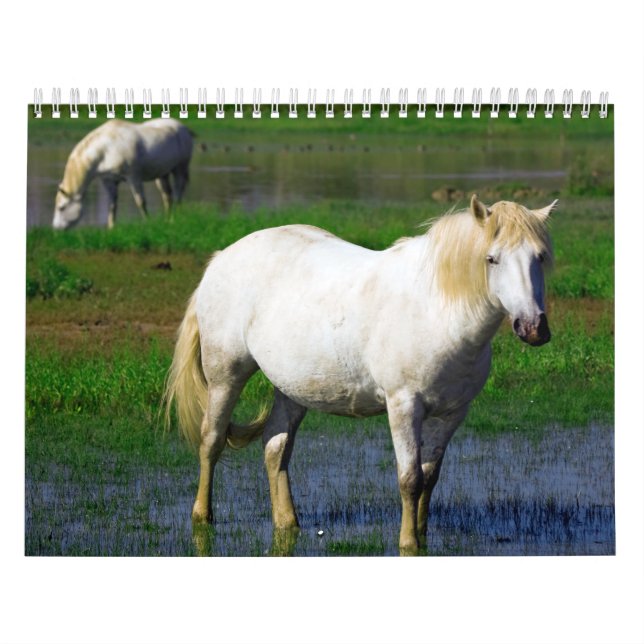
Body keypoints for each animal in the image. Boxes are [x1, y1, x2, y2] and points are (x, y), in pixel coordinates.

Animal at [52, 118, 193, 230]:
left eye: (61, 207)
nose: (55, 229)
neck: (106, 149)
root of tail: (184, 128)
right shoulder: (109, 181)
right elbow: (112, 205)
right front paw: (111, 228)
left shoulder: (133, 178)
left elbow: (140, 201)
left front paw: (147, 222)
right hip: (162, 174)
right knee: (167, 196)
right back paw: (167, 220)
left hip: (180, 168)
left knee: (178, 192)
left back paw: (175, 218)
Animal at [164, 195, 556, 555]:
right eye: (492, 259)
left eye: (539, 257)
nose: (534, 328)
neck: (437, 310)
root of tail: (221, 258)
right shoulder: (403, 406)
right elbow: (410, 479)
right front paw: (409, 542)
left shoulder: (451, 413)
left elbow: (430, 477)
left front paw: (423, 535)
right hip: (225, 375)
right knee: (212, 440)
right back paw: (202, 516)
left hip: (291, 389)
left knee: (276, 447)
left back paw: (287, 522)